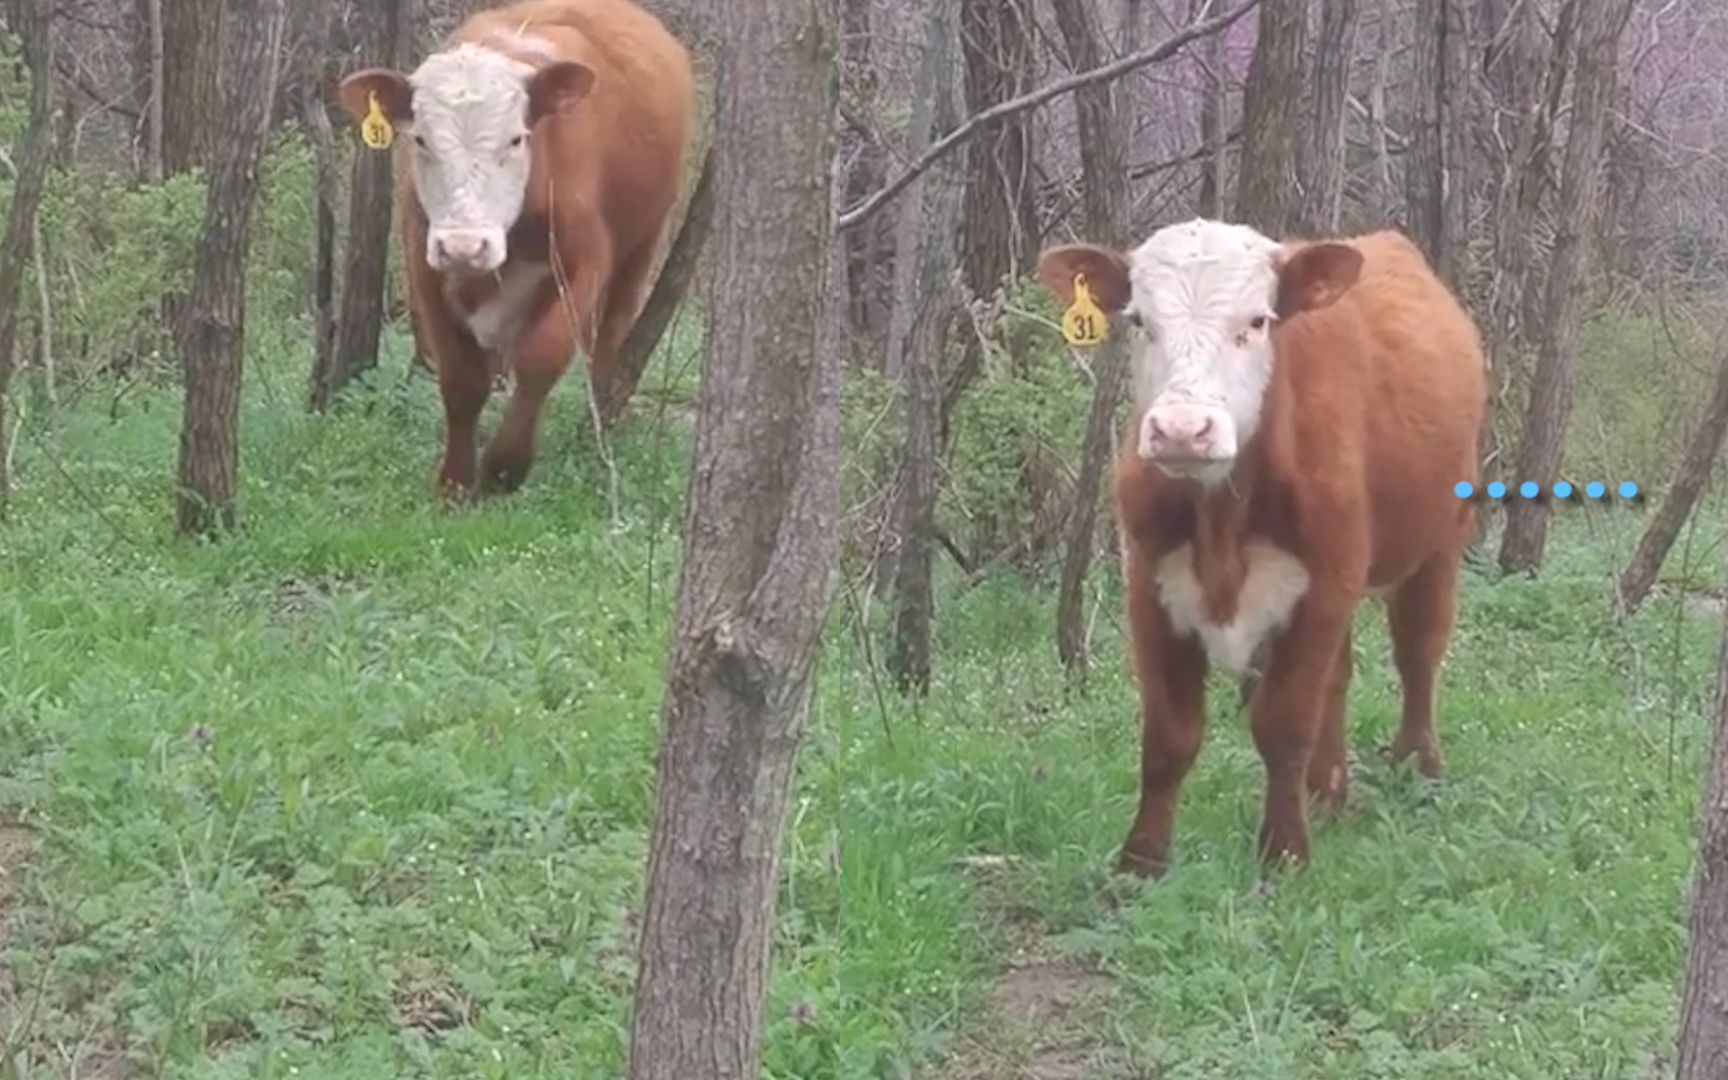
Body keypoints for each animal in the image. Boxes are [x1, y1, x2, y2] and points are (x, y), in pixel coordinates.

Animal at [336, 0, 687, 497]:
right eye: (420, 139)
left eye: (517, 138)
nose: (464, 245)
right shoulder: (423, 263)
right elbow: (461, 377)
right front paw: (455, 480)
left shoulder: (586, 259)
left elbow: (542, 357)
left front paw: (505, 468)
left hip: (645, 241)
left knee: (610, 335)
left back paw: (595, 431)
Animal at [1029, 216, 1492, 877]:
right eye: (1139, 319)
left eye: (1256, 321)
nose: (1182, 430)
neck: (1222, 517)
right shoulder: (1148, 587)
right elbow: (1168, 735)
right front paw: (1139, 864)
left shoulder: (1324, 583)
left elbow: (1284, 723)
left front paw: (1284, 855)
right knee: (1341, 676)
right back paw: (1327, 790)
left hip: (1439, 542)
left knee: (1418, 652)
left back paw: (1417, 766)